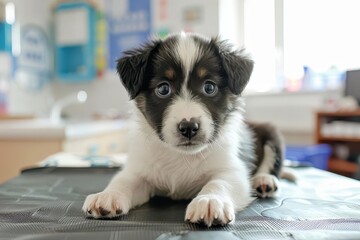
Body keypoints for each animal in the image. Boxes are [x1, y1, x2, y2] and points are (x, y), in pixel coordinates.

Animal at [82, 32, 284, 227]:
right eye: (163, 89)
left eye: (209, 87)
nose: (188, 127)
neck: (182, 156)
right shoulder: (141, 169)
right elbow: (124, 180)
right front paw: (108, 195)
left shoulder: (232, 170)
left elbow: (219, 183)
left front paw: (209, 201)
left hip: (272, 134)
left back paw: (263, 181)